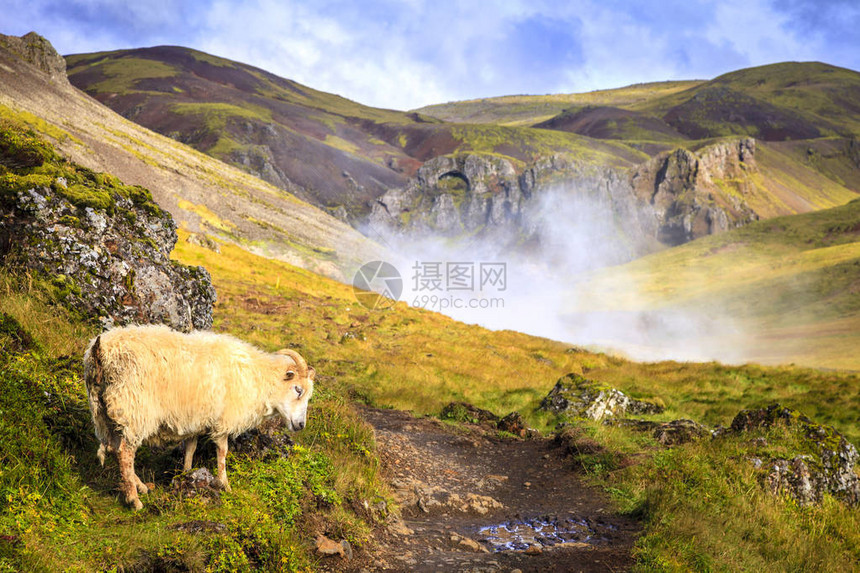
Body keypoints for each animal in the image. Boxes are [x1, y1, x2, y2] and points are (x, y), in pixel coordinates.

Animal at [81, 324, 312, 508]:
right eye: (298, 389)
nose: (301, 425)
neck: (258, 379)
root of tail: (101, 350)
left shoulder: (194, 419)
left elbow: (191, 448)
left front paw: (187, 474)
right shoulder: (223, 420)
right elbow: (222, 452)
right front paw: (224, 484)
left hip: (103, 412)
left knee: (114, 449)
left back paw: (140, 486)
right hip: (134, 409)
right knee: (125, 454)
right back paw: (134, 499)